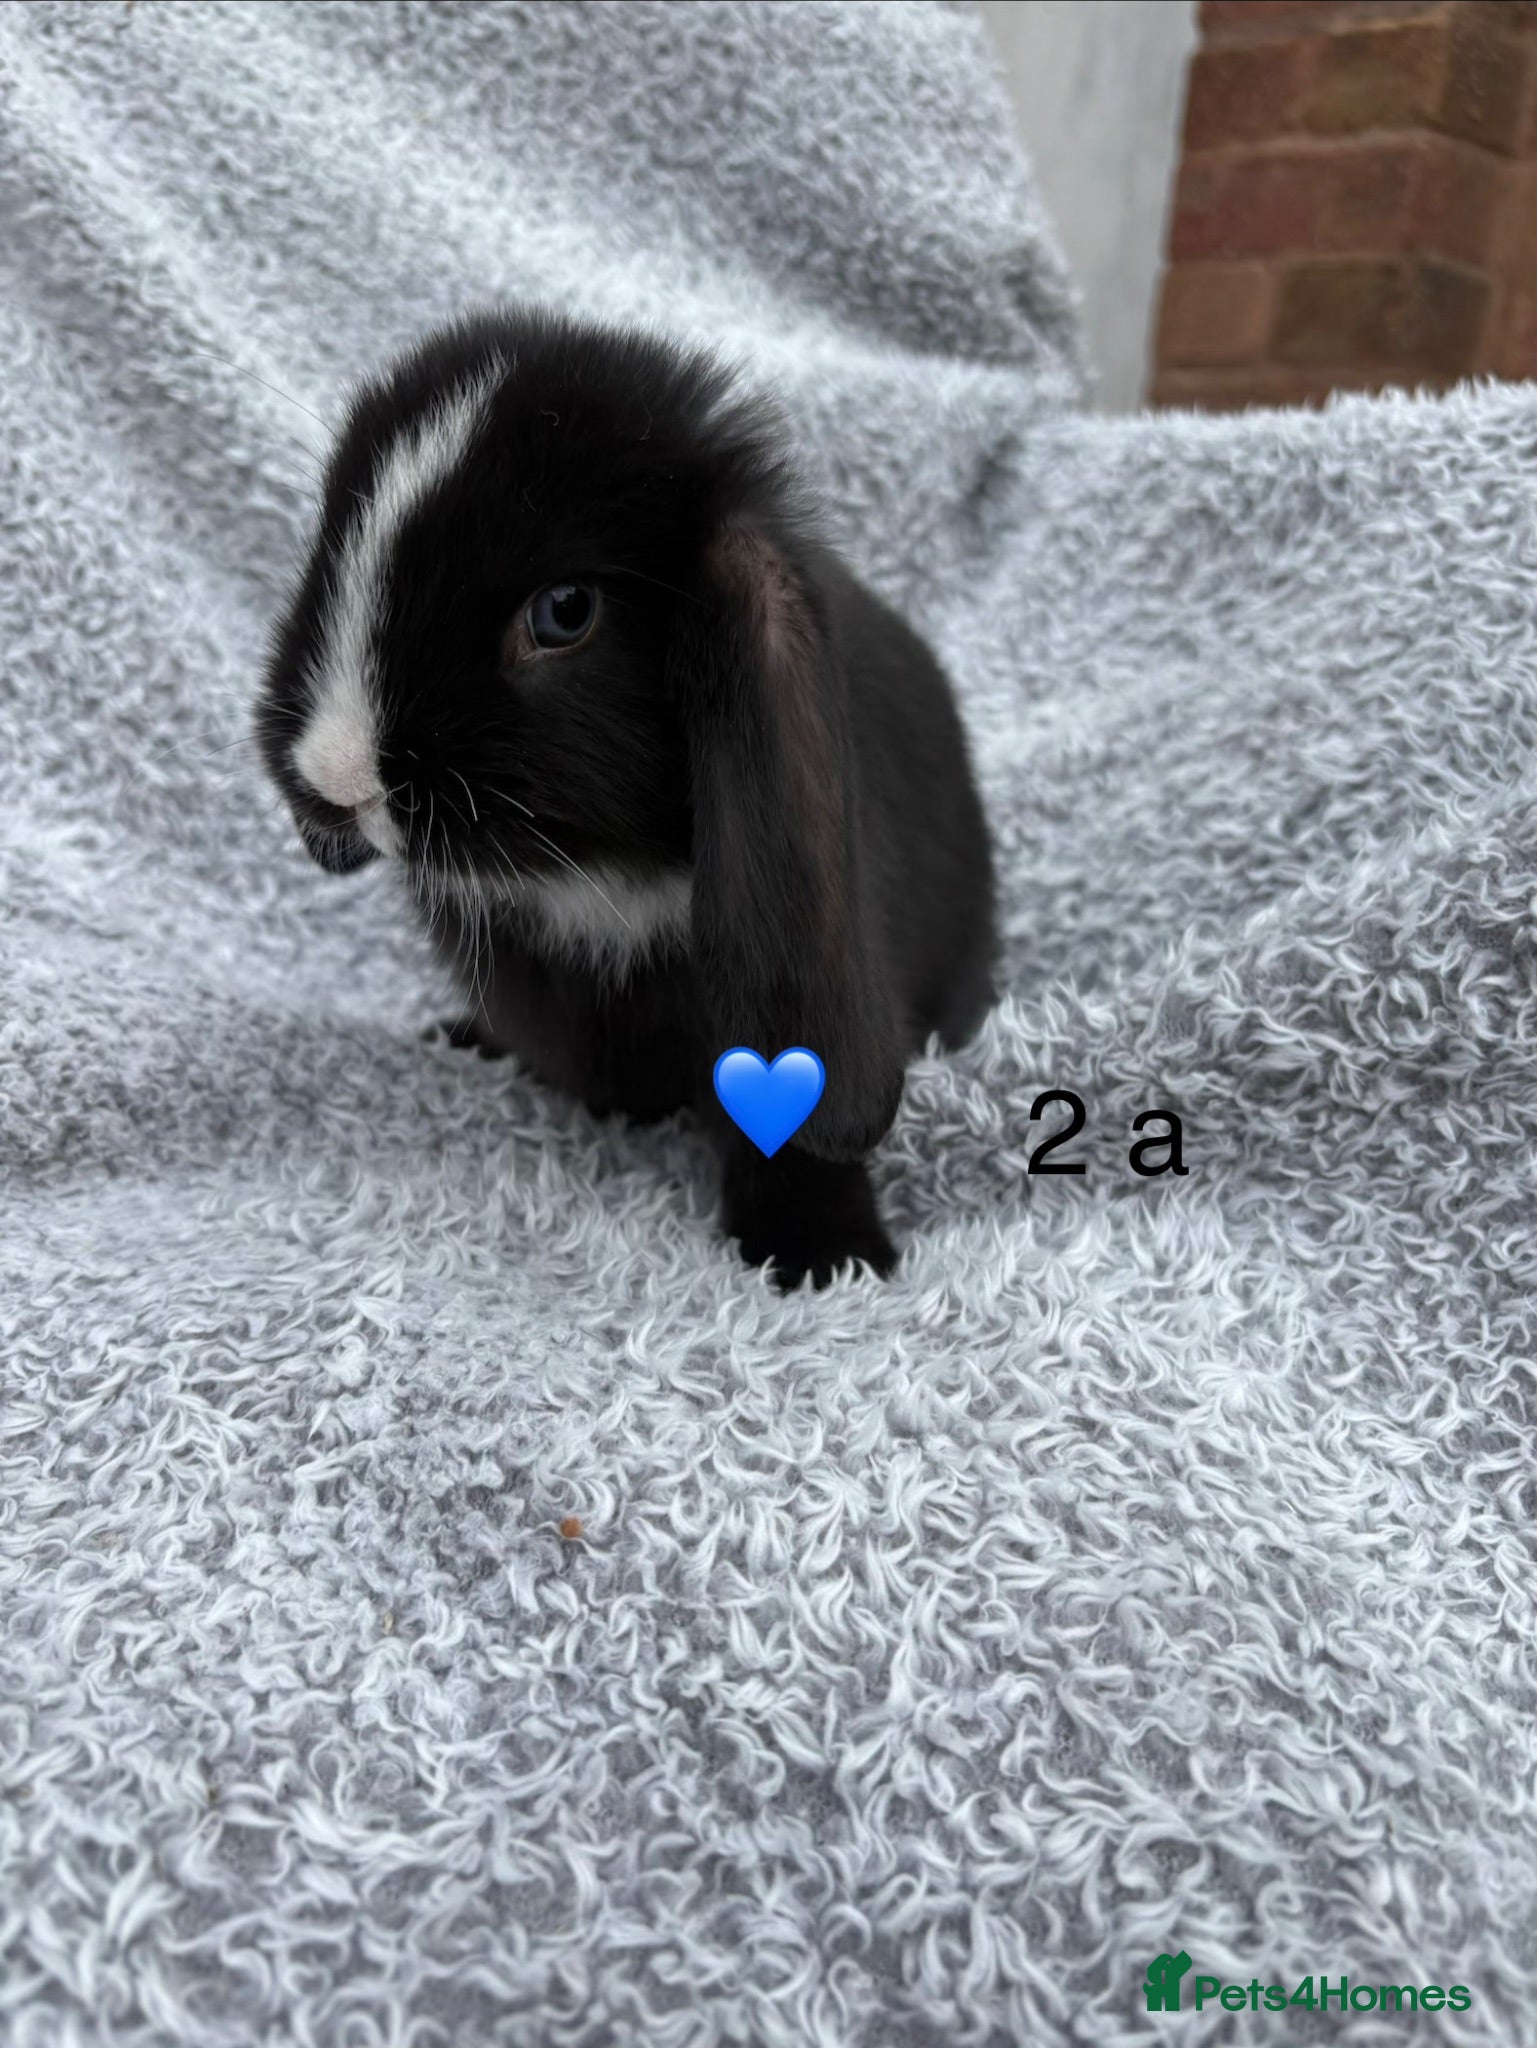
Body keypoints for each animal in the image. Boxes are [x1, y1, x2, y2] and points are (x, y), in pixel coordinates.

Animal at [254, 305, 998, 1289]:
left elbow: (788, 1132)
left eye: (565, 612)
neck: (595, 873)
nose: (338, 772)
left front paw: (823, 1258)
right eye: (331, 541)